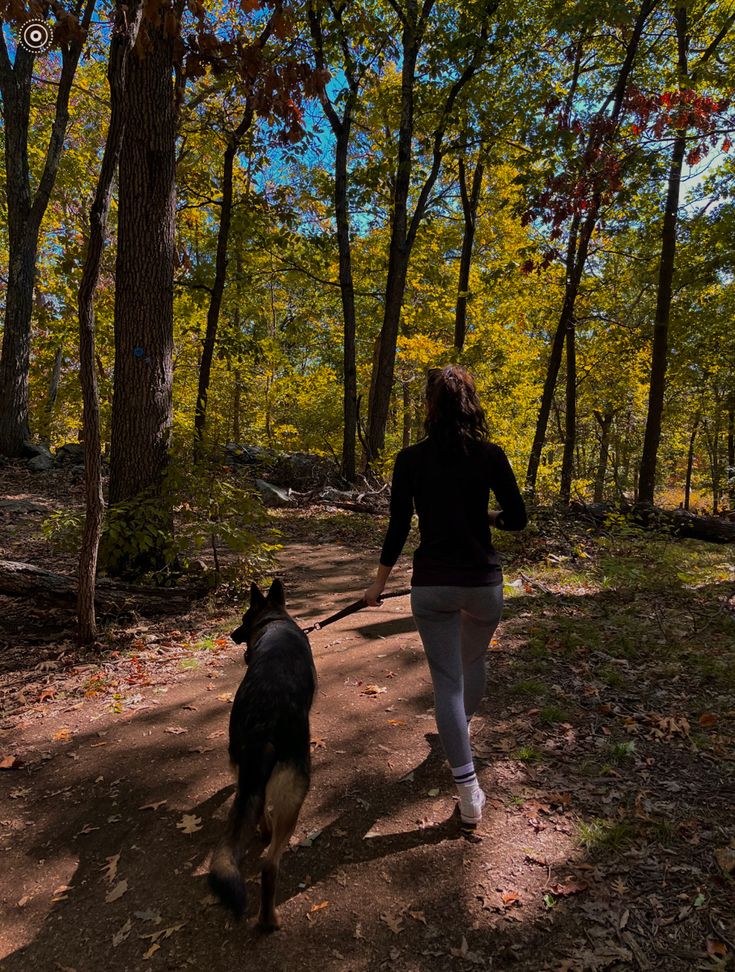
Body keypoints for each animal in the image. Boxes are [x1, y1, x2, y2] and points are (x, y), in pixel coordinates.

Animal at [207, 580, 316, 932]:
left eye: (243, 618)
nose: (232, 635)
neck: (274, 620)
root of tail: (263, 723)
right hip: (294, 794)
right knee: (270, 864)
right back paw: (269, 920)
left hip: (244, 764)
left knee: (258, 813)